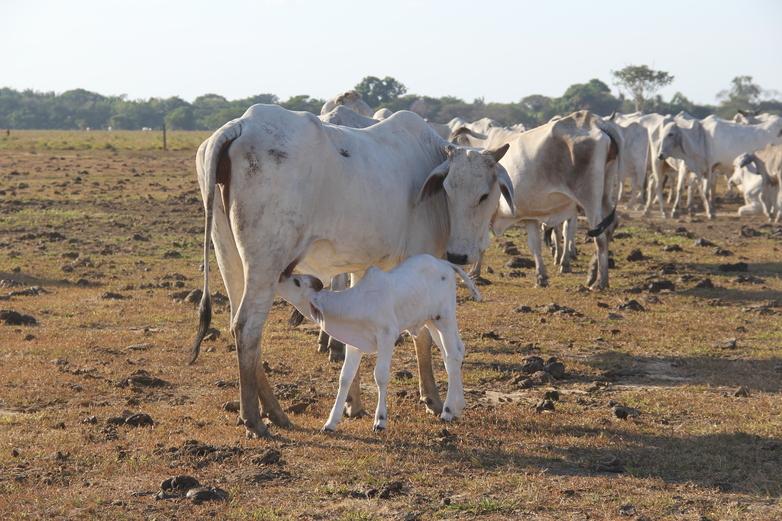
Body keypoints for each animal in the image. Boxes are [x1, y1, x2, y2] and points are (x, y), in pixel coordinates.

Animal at [190, 105, 515, 438]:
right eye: (449, 189)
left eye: (484, 194)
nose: (458, 254)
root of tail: (241, 125)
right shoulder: (416, 261)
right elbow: (421, 336)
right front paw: (434, 400)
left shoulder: (364, 271)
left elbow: (354, 343)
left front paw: (353, 405)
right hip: (265, 262)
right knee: (247, 328)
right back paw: (256, 420)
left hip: (227, 253)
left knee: (235, 323)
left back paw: (275, 413)